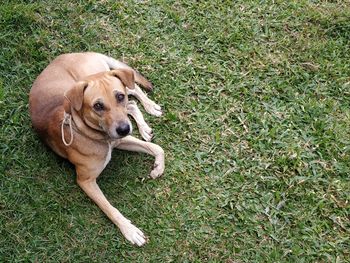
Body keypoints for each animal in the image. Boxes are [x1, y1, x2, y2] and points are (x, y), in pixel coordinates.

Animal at [29, 53, 165, 248]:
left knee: (132, 90)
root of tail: (79, 53)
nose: (124, 129)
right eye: (98, 106)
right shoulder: (86, 181)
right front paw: (129, 230)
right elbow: (109, 208)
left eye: (119, 97)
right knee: (132, 102)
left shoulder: (119, 139)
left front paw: (158, 167)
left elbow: (157, 148)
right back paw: (144, 125)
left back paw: (149, 107)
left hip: (97, 76)